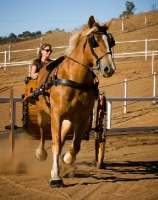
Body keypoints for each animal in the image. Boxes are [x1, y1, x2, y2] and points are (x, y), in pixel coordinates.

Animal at [33, 15, 116, 188]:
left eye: (111, 42)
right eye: (94, 41)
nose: (109, 68)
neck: (74, 78)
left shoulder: (82, 118)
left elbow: (75, 145)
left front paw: (67, 159)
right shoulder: (56, 115)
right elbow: (55, 143)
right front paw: (56, 176)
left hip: (68, 119)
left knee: (63, 136)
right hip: (42, 112)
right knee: (43, 132)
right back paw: (41, 153)